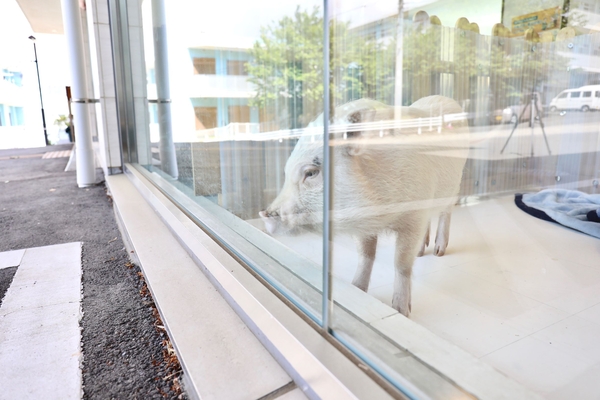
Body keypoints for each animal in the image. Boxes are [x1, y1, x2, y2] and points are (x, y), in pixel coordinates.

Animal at [258, 95, 468, 318]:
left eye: (311, 172)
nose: (264, 213)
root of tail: (445, 98)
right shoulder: (365, 226)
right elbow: (366, 255)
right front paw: (356, 288)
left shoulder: (413, 215)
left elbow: (401, 263)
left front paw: (401, 311)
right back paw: (421, 252)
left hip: (455, 182)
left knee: (447, 211)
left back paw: (438, 252)